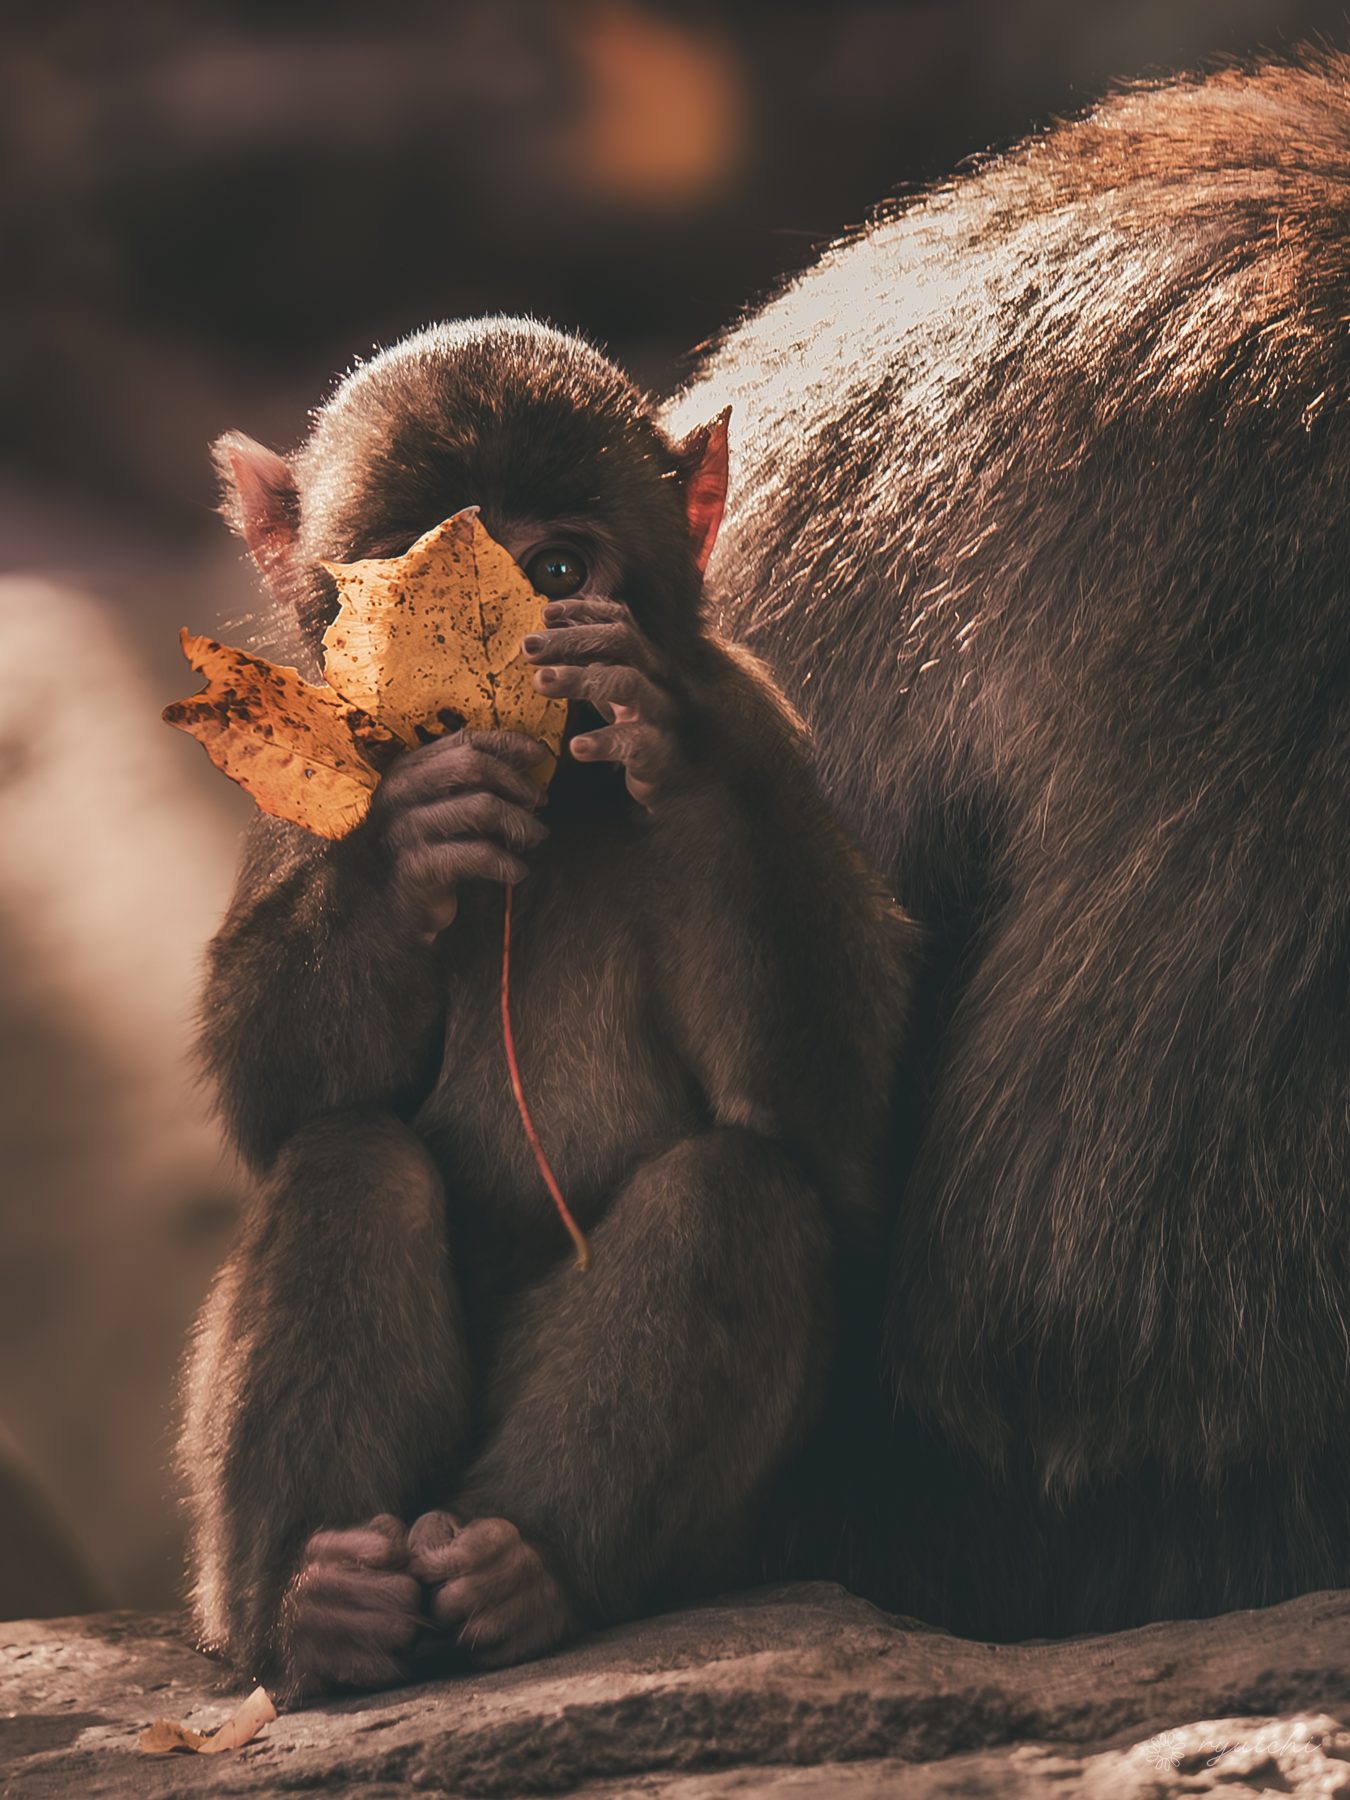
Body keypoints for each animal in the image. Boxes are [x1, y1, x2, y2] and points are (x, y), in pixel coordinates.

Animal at [178, 317, 912, 1700]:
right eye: (402, 581)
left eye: (561, 569)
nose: (509, 669)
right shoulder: (316, 779)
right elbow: (275, 1099)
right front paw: (414, 848)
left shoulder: (761, 721)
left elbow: (830, 1138)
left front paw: (665, 741)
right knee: (351, 1159)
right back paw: (318, 1608)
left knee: (737, 1193)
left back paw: (528, 1567)